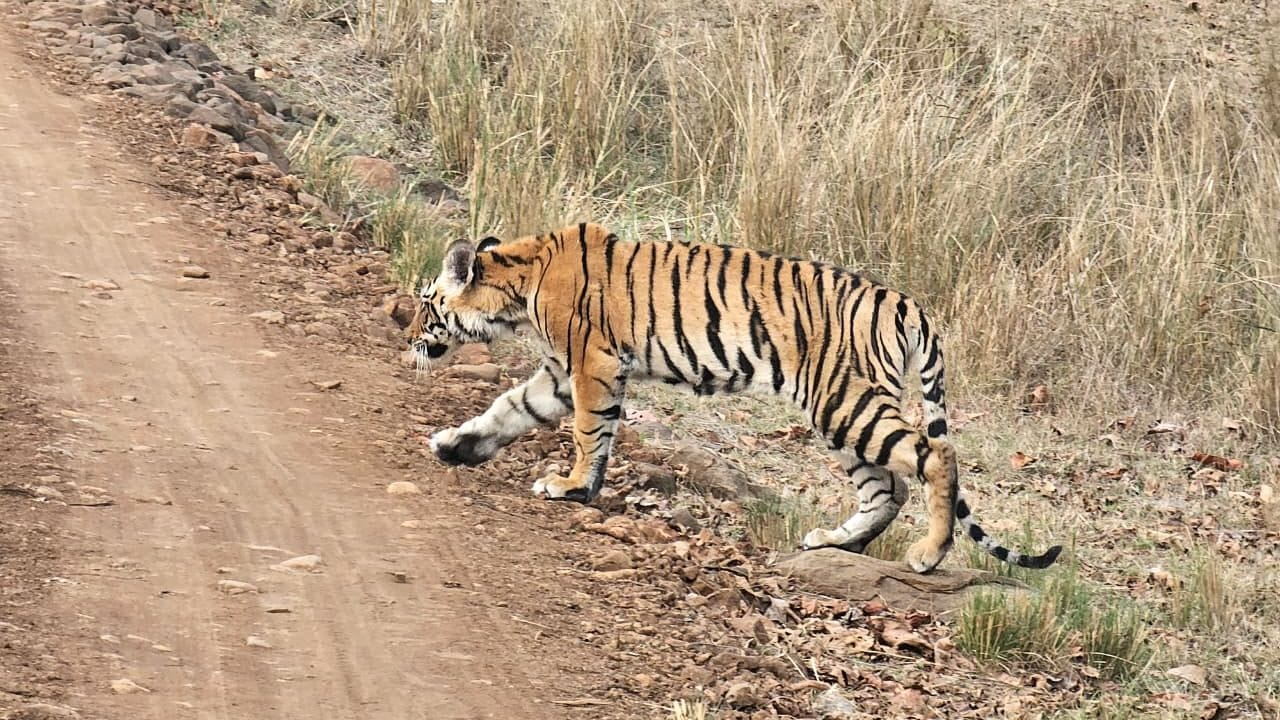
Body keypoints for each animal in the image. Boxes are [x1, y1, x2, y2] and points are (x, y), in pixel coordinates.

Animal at [408, 222, 1062, 573]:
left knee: (935, 457)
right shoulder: (563, 374)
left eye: (425, 302)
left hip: (844, 401)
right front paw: (455, 445)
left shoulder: (591, 365)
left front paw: (570, 487)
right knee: (889, 487)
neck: (517, 284)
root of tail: (909, 303)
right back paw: (836, 542)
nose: (408, 336)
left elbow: (588, 433)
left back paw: (928, 554)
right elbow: (509, 409)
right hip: (841, 414)